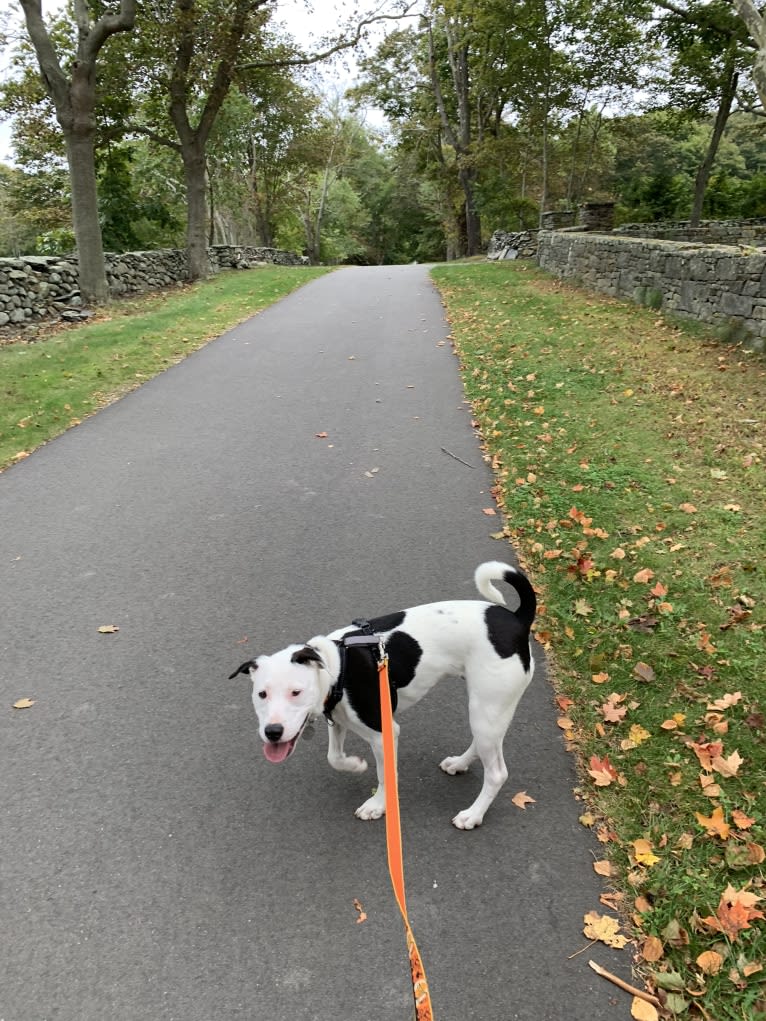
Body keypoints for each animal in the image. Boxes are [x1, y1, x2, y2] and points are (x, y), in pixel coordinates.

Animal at [230, 559, 535, 829]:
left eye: (296, 692)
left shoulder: (383, 732)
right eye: (262, 694)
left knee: (497, 773)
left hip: (488, 707)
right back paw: (460, 763)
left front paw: (377, 805)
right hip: (484, 709)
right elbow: (334, 757)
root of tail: (517, 620)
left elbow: (384, 774)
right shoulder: (339, 720)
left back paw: (472, 815)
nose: (273, 732)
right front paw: (354, 765)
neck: (337, 667)